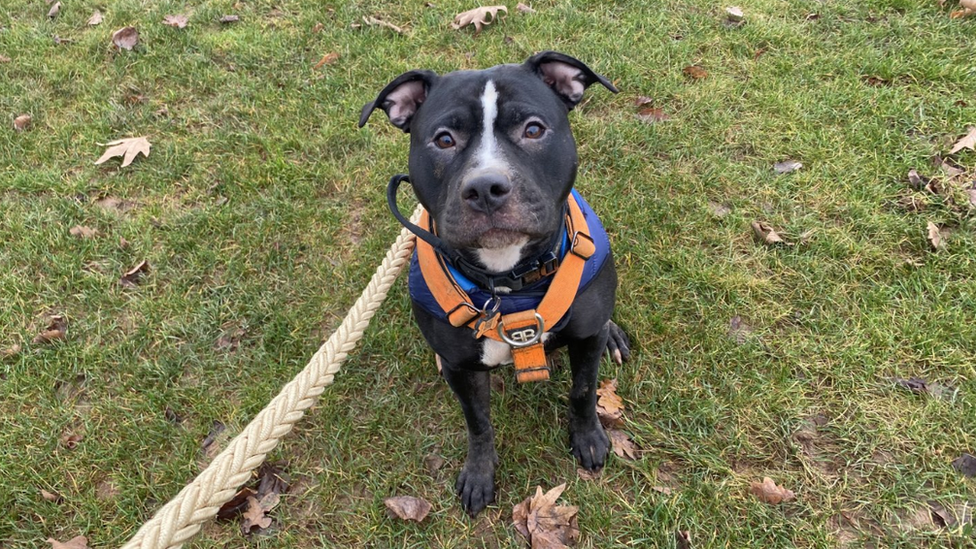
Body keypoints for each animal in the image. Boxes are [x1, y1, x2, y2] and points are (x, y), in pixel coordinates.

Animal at [362, 50, 628, 512]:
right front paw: (479, 473)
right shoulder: (461, 369)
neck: (507, 284)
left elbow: (582, 390)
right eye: (444, 139)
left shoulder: (585, 341)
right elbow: (478, 422)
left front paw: (589, 437)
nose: (485, 186)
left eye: (533, 129)